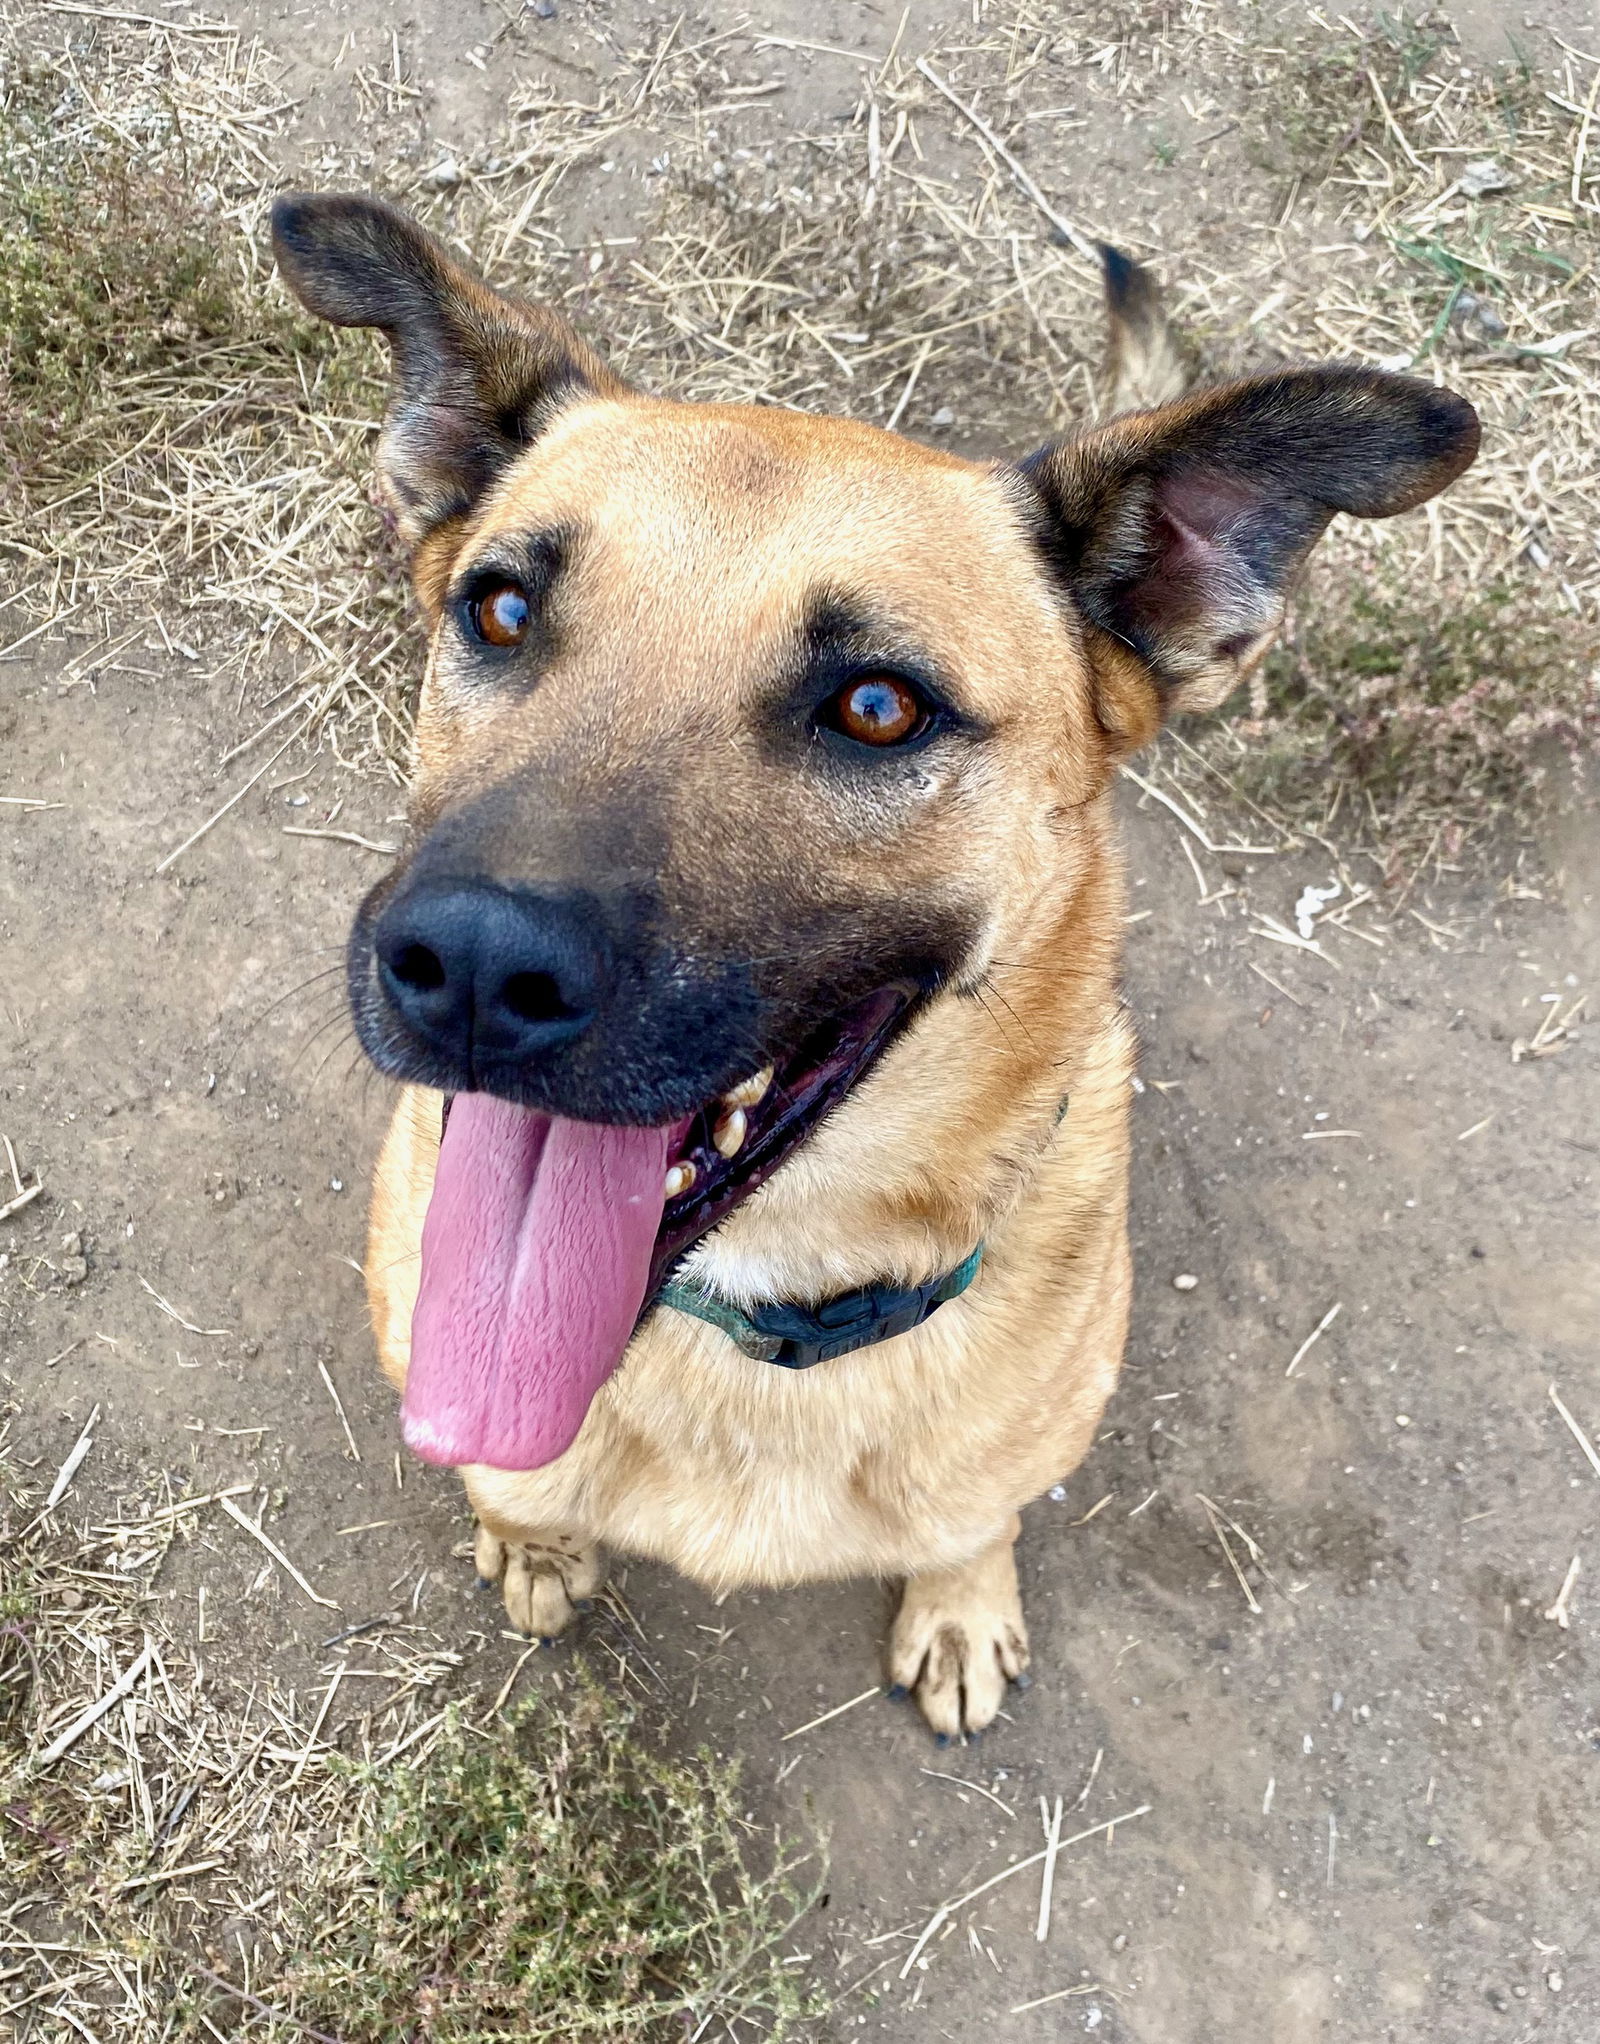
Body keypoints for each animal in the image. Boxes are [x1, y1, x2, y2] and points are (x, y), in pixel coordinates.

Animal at [271, 192, 1479, 1733]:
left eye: (877, 707)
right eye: (499, 611)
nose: (471, 971)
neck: (759, 1312)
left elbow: (973, 1520)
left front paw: (960, 1607)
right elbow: (518, 1489)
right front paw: (529, 1536)